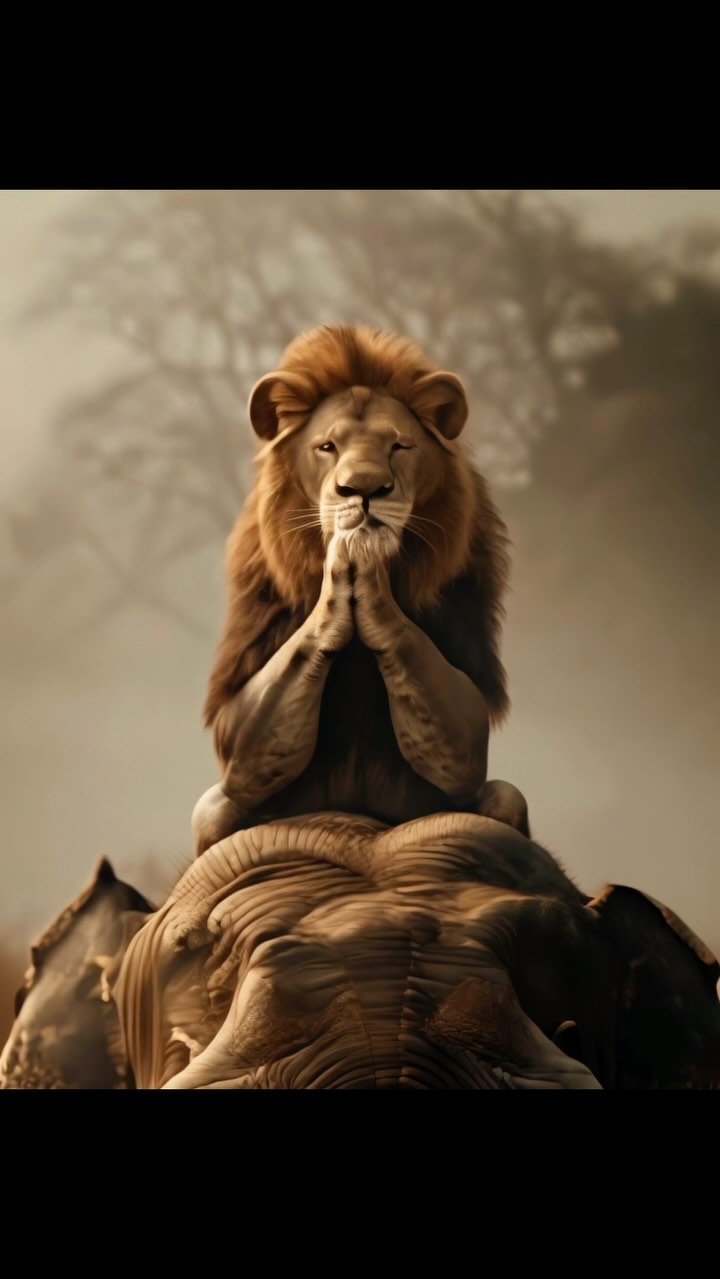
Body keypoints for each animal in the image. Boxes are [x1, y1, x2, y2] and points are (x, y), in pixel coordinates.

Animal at [192, 324, 530, 855]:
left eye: (399, 446)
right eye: (327, 446)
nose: (363, 489)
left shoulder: (468, 715)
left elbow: (468, 744)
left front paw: (366, 557)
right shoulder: (239, 713)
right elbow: (237, 740)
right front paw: (350, 555)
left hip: (502, 799)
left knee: (502, 795)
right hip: (216, 809)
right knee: (217, 805)